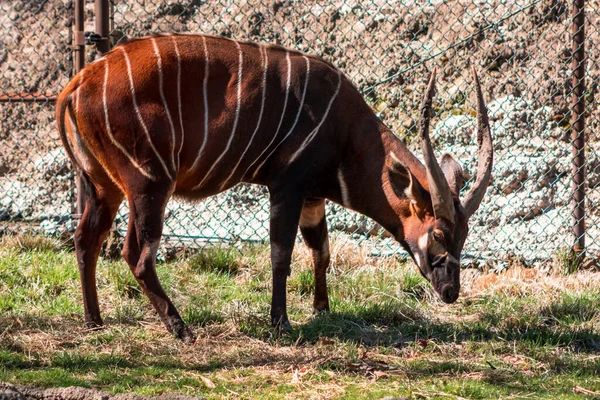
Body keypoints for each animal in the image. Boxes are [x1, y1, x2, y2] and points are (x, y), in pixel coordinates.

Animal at [57, 33, 492, 344]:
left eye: (465, 235)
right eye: (439, 233)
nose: (451, 291)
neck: (344, 128)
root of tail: (78, 83)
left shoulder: (313, 196)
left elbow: (321, 251)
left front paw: (322, 309)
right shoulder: (287, 185)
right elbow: (281, 255)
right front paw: (281, 322)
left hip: (103, 187)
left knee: (86, 239)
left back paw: (94, 321)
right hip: (149, 184)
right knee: (136, 253)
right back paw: (181, 330)